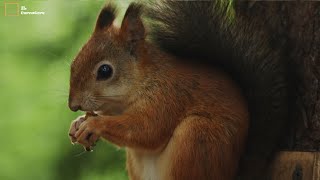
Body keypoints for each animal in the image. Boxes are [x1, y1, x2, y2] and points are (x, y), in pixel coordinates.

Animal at [67, 1, 288, 180]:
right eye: (74, 62)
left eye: (105, 71)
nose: (73, 105)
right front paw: (77, 123)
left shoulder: (167, 97)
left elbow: (146, 130)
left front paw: (94, 124)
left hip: (197, 136)